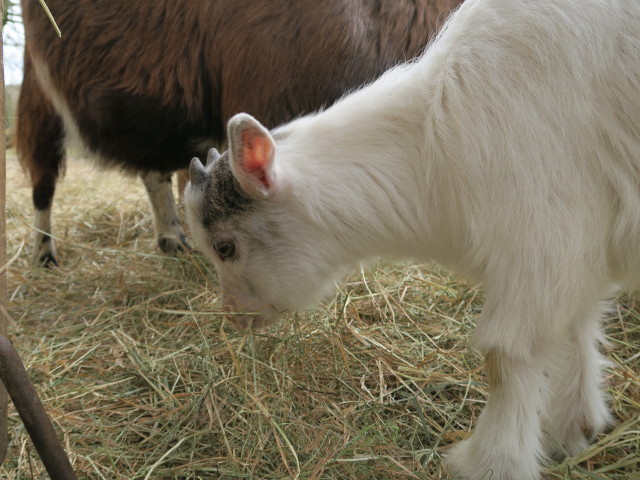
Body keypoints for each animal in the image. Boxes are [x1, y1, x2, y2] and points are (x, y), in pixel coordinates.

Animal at [184, 0, 640, 478]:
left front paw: (489, 463)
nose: (233, 314)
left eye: (224, 247)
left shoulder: (542, 233)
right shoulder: (577, 246)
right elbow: (577, 326)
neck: (430, 146)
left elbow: (505, 356)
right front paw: (574, 430)